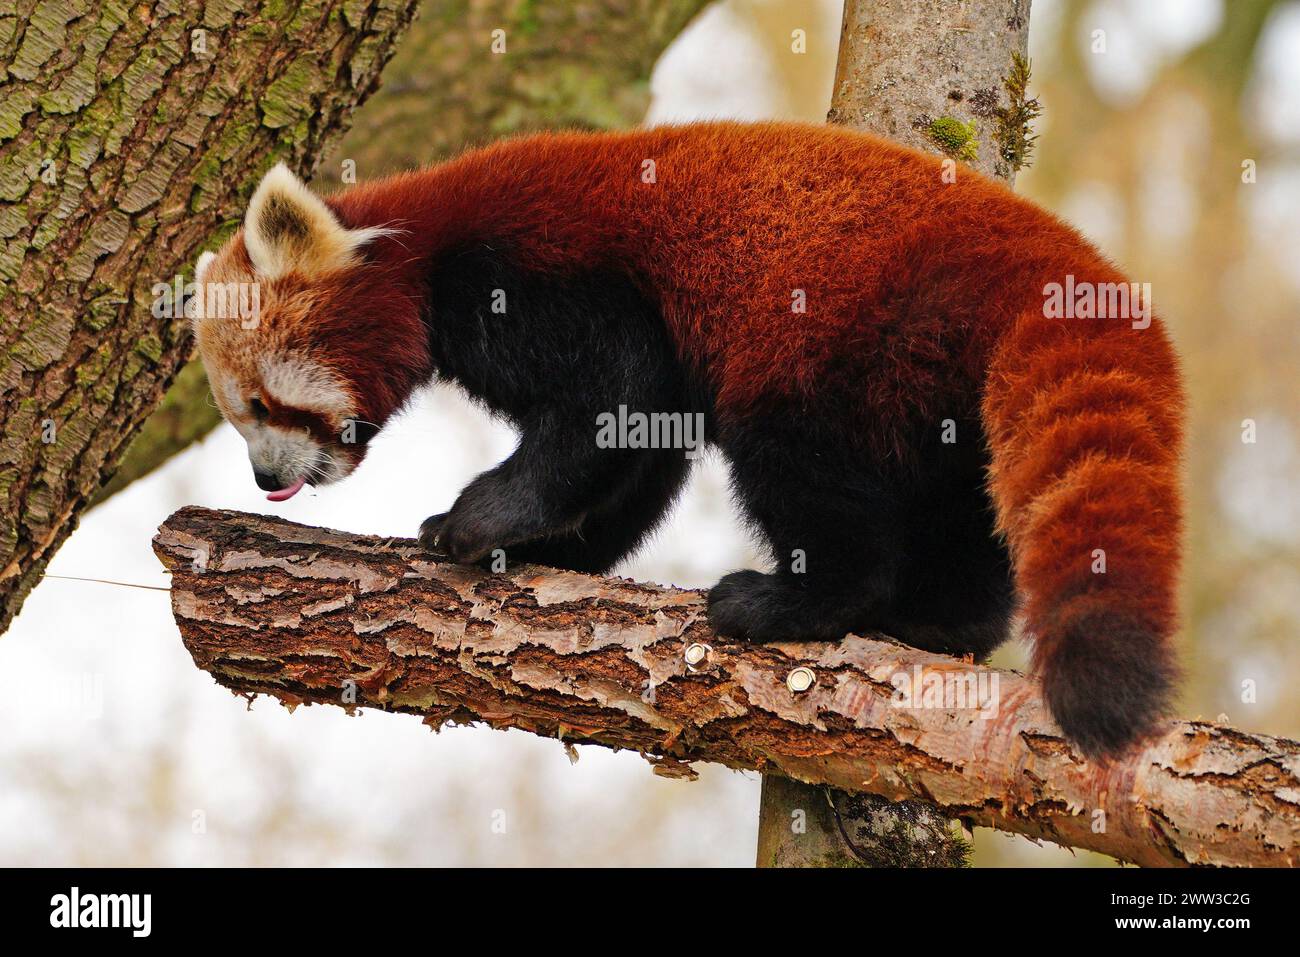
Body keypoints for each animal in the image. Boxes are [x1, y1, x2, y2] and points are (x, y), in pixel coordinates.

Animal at [195, 123, 1190, 759]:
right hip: (940, 387)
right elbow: (640, 453)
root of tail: (1039, 253)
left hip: (841, 332)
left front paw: (477, 520)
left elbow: (612, 402)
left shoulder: (546, 280)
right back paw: (939, 618)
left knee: (801, 466)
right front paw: (550, 550)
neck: (423, 252)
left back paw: (796, 601)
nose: (266, 478)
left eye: (262, 405)